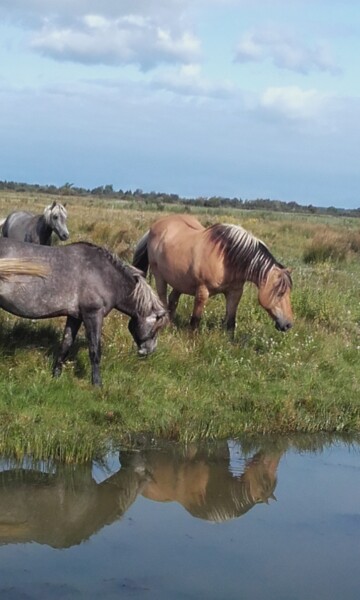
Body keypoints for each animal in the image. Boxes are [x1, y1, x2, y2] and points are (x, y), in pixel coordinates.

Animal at [0, 238, 167, 384]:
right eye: (155, 329)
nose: (149, 351)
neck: (104, 275)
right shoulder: (93, 315)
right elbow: (94, 351)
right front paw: (97, 384)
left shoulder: (75, 317)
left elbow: (66, 345)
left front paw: (56, 376)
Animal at [132, 214, 292, 338]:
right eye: (280, 293)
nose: (288, 324)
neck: (226, 259)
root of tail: (154, 227)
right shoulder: (202, 291)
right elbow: (195, 320)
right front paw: (192, 340)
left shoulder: (234, 293)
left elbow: (231, 322)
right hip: (159, 276)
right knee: (163, 299)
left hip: (179, 280)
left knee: (172, 300)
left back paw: (171, 325)